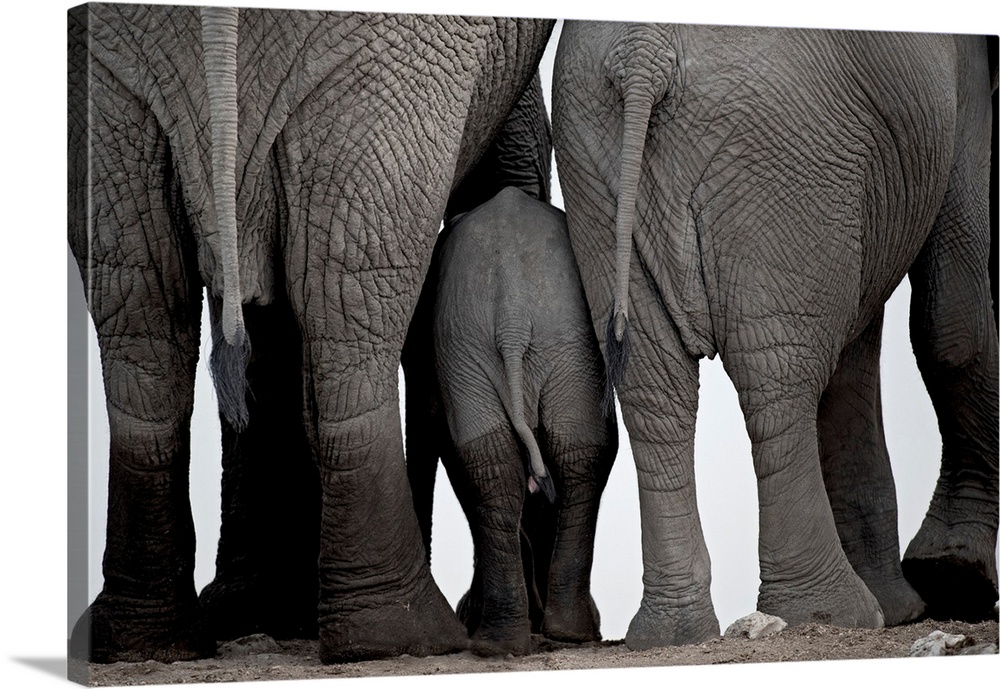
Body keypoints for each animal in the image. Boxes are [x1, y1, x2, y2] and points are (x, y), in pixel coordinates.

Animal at [430, 185, 616, 652]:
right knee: (572, 457)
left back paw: (511, 642)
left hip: (492, 345)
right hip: (516, 346)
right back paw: (559, 633)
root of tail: (511, 320)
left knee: (506, 462)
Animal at [552, 18, 996, 648]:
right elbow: (953, 319)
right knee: (779, 376)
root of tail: (644, 52)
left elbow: (857, 347)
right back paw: (834, 615)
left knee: (655, 388)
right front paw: (957, 580)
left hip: (597, 165)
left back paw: (671, 634)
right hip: (781, 163)